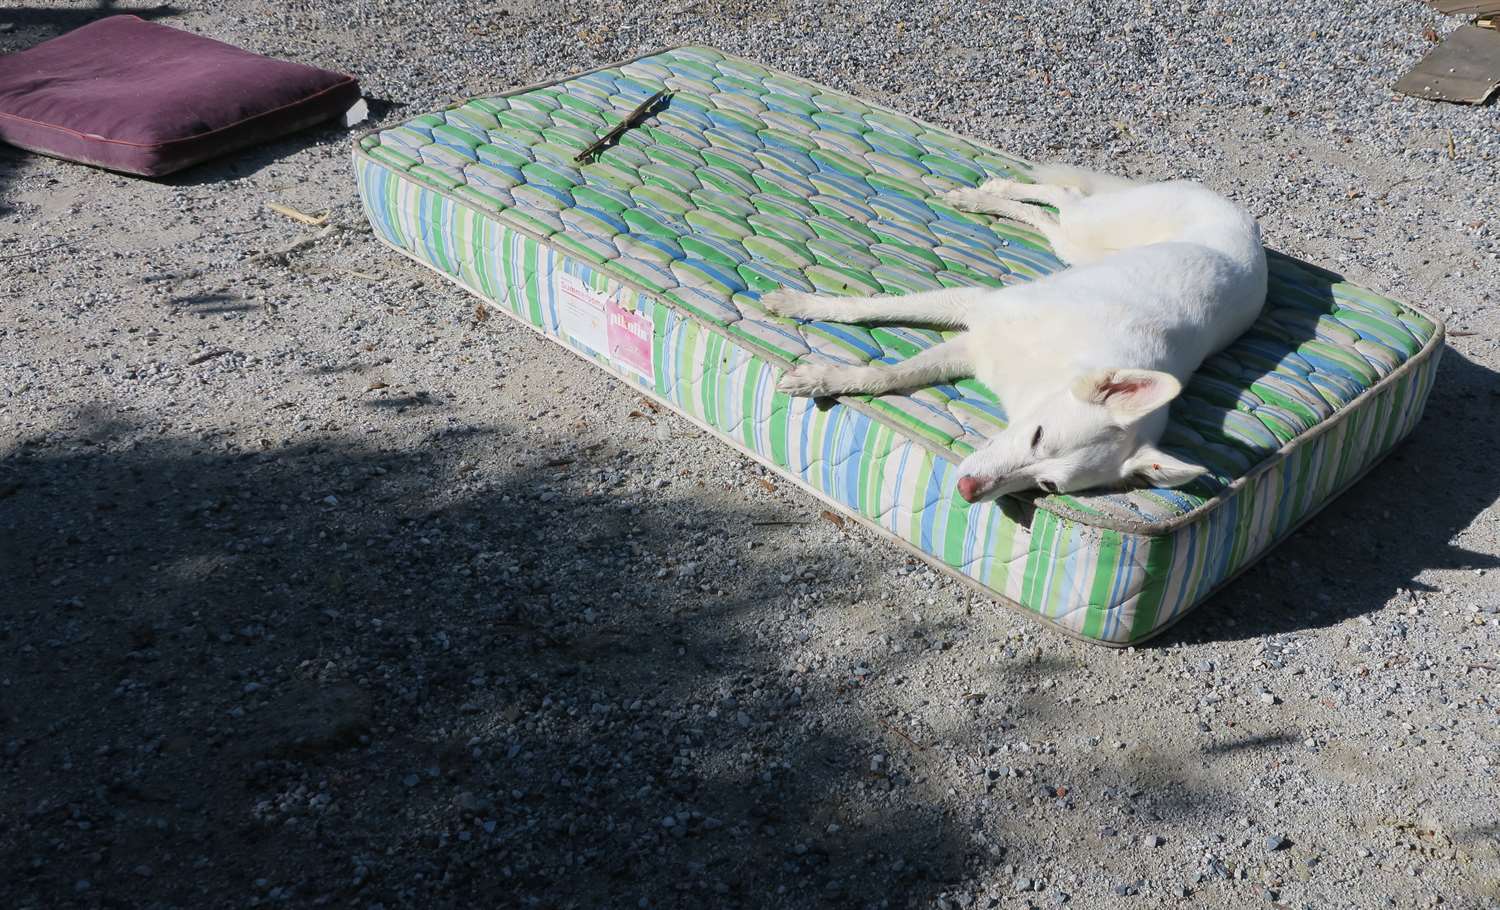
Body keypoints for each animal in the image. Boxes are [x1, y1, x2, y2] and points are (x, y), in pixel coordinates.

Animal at [762, 164, 1266, 506]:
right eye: (1038, 435)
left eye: (1047, 485)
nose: (967, 491)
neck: (1064, 361)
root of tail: (1245, 220)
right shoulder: (975, 308)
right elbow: (867, 312)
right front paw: (801, 309)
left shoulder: (969, 344)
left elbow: (889, 376)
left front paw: (825, 376)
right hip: (1091, 228)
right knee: (1064, 195)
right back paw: (988, 194)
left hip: (1077, 247)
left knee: (1051, 217)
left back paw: (990, 199)